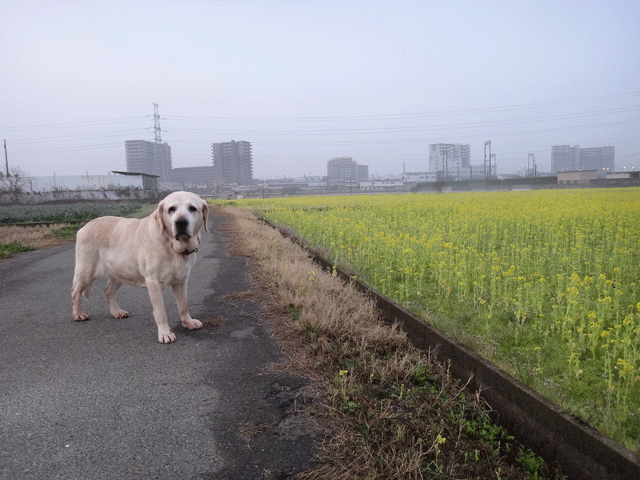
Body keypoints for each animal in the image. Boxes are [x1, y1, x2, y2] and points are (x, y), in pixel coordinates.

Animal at [70, 189, 210, 344]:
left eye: (193, 208)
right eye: (171, 209)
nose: (180, 222)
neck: (171, 245)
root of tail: (84, 226)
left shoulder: (180, 281)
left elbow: (183, 305)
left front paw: (188, 322)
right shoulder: (153, 282)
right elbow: (160, 312)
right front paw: (165, 333)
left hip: (119, 272)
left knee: (108, 292)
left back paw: (116, 312)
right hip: (86, 271)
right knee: (75, 292)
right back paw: (78, 314)